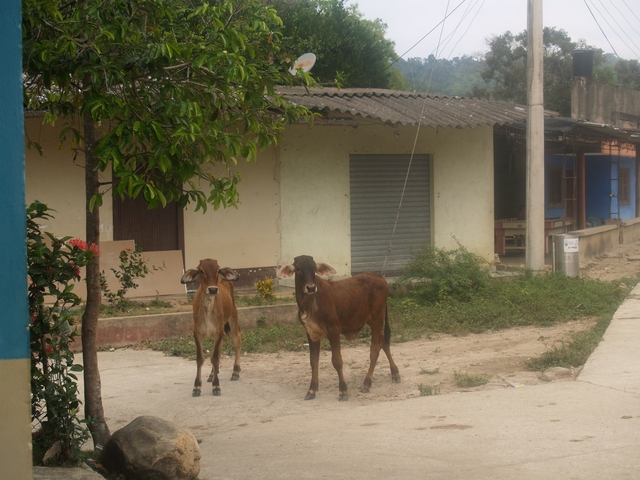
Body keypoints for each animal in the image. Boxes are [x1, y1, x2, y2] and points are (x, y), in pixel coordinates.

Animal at [180, 259, 241, 397]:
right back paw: (212, 374)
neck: (207, 309)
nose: (213, 289)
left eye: (218, 270)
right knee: (219, 349)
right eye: (201, 271)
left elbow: (214, 357)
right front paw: (197, 386)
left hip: (233, 315)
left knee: (236, 339)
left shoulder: (219, 331)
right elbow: (200, 358)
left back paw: (235, 372)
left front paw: (216, 386)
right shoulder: (197, 332)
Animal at [276, 255, 401, 401]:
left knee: (375, 349)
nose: (311, 287)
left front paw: (343, 391)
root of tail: (380, 278)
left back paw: (367, 383)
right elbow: (313, 361)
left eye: (314, 268)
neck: (310, 304)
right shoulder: (311, 333)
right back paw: (395, 373)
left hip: (377, 319)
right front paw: (312, 390)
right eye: (298, 268)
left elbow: (337, 361)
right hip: (372, 321)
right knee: (384, 343)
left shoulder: (334, 331)